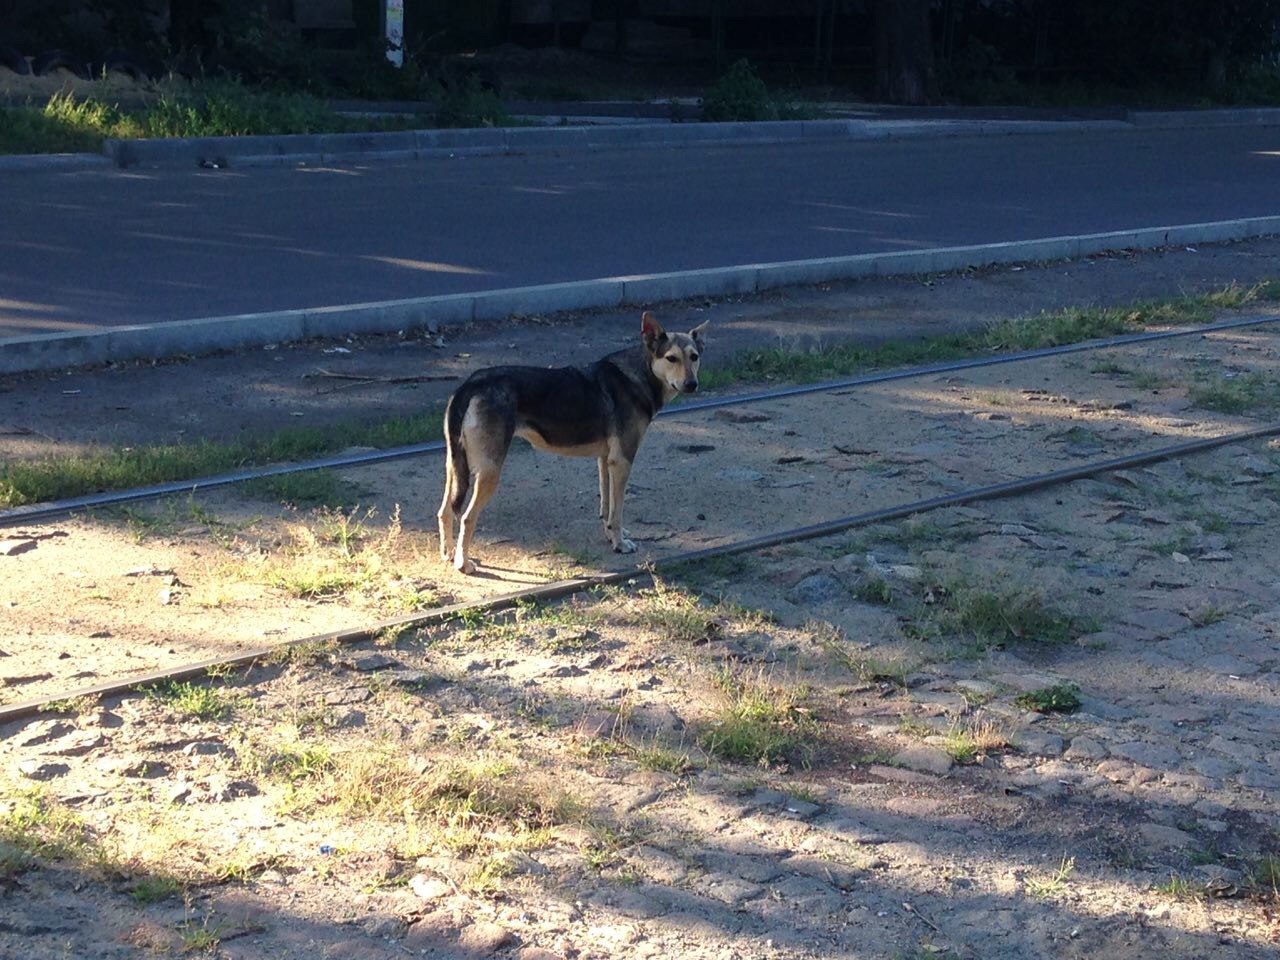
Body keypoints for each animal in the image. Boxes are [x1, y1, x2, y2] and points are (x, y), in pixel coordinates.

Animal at [435, 312, 706, 576]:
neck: (639, 374)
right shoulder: (623, 460)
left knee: (445, 511)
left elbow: (607, 506)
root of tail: (470, 384)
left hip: (455, 467)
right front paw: (620, 544)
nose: (692, 384)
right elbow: (617, 510)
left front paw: (611, 535)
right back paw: (463, 564)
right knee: (467, 518)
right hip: (488, 472)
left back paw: (449, 553)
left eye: (694, 357)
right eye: (671, 358)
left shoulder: (605, 460)